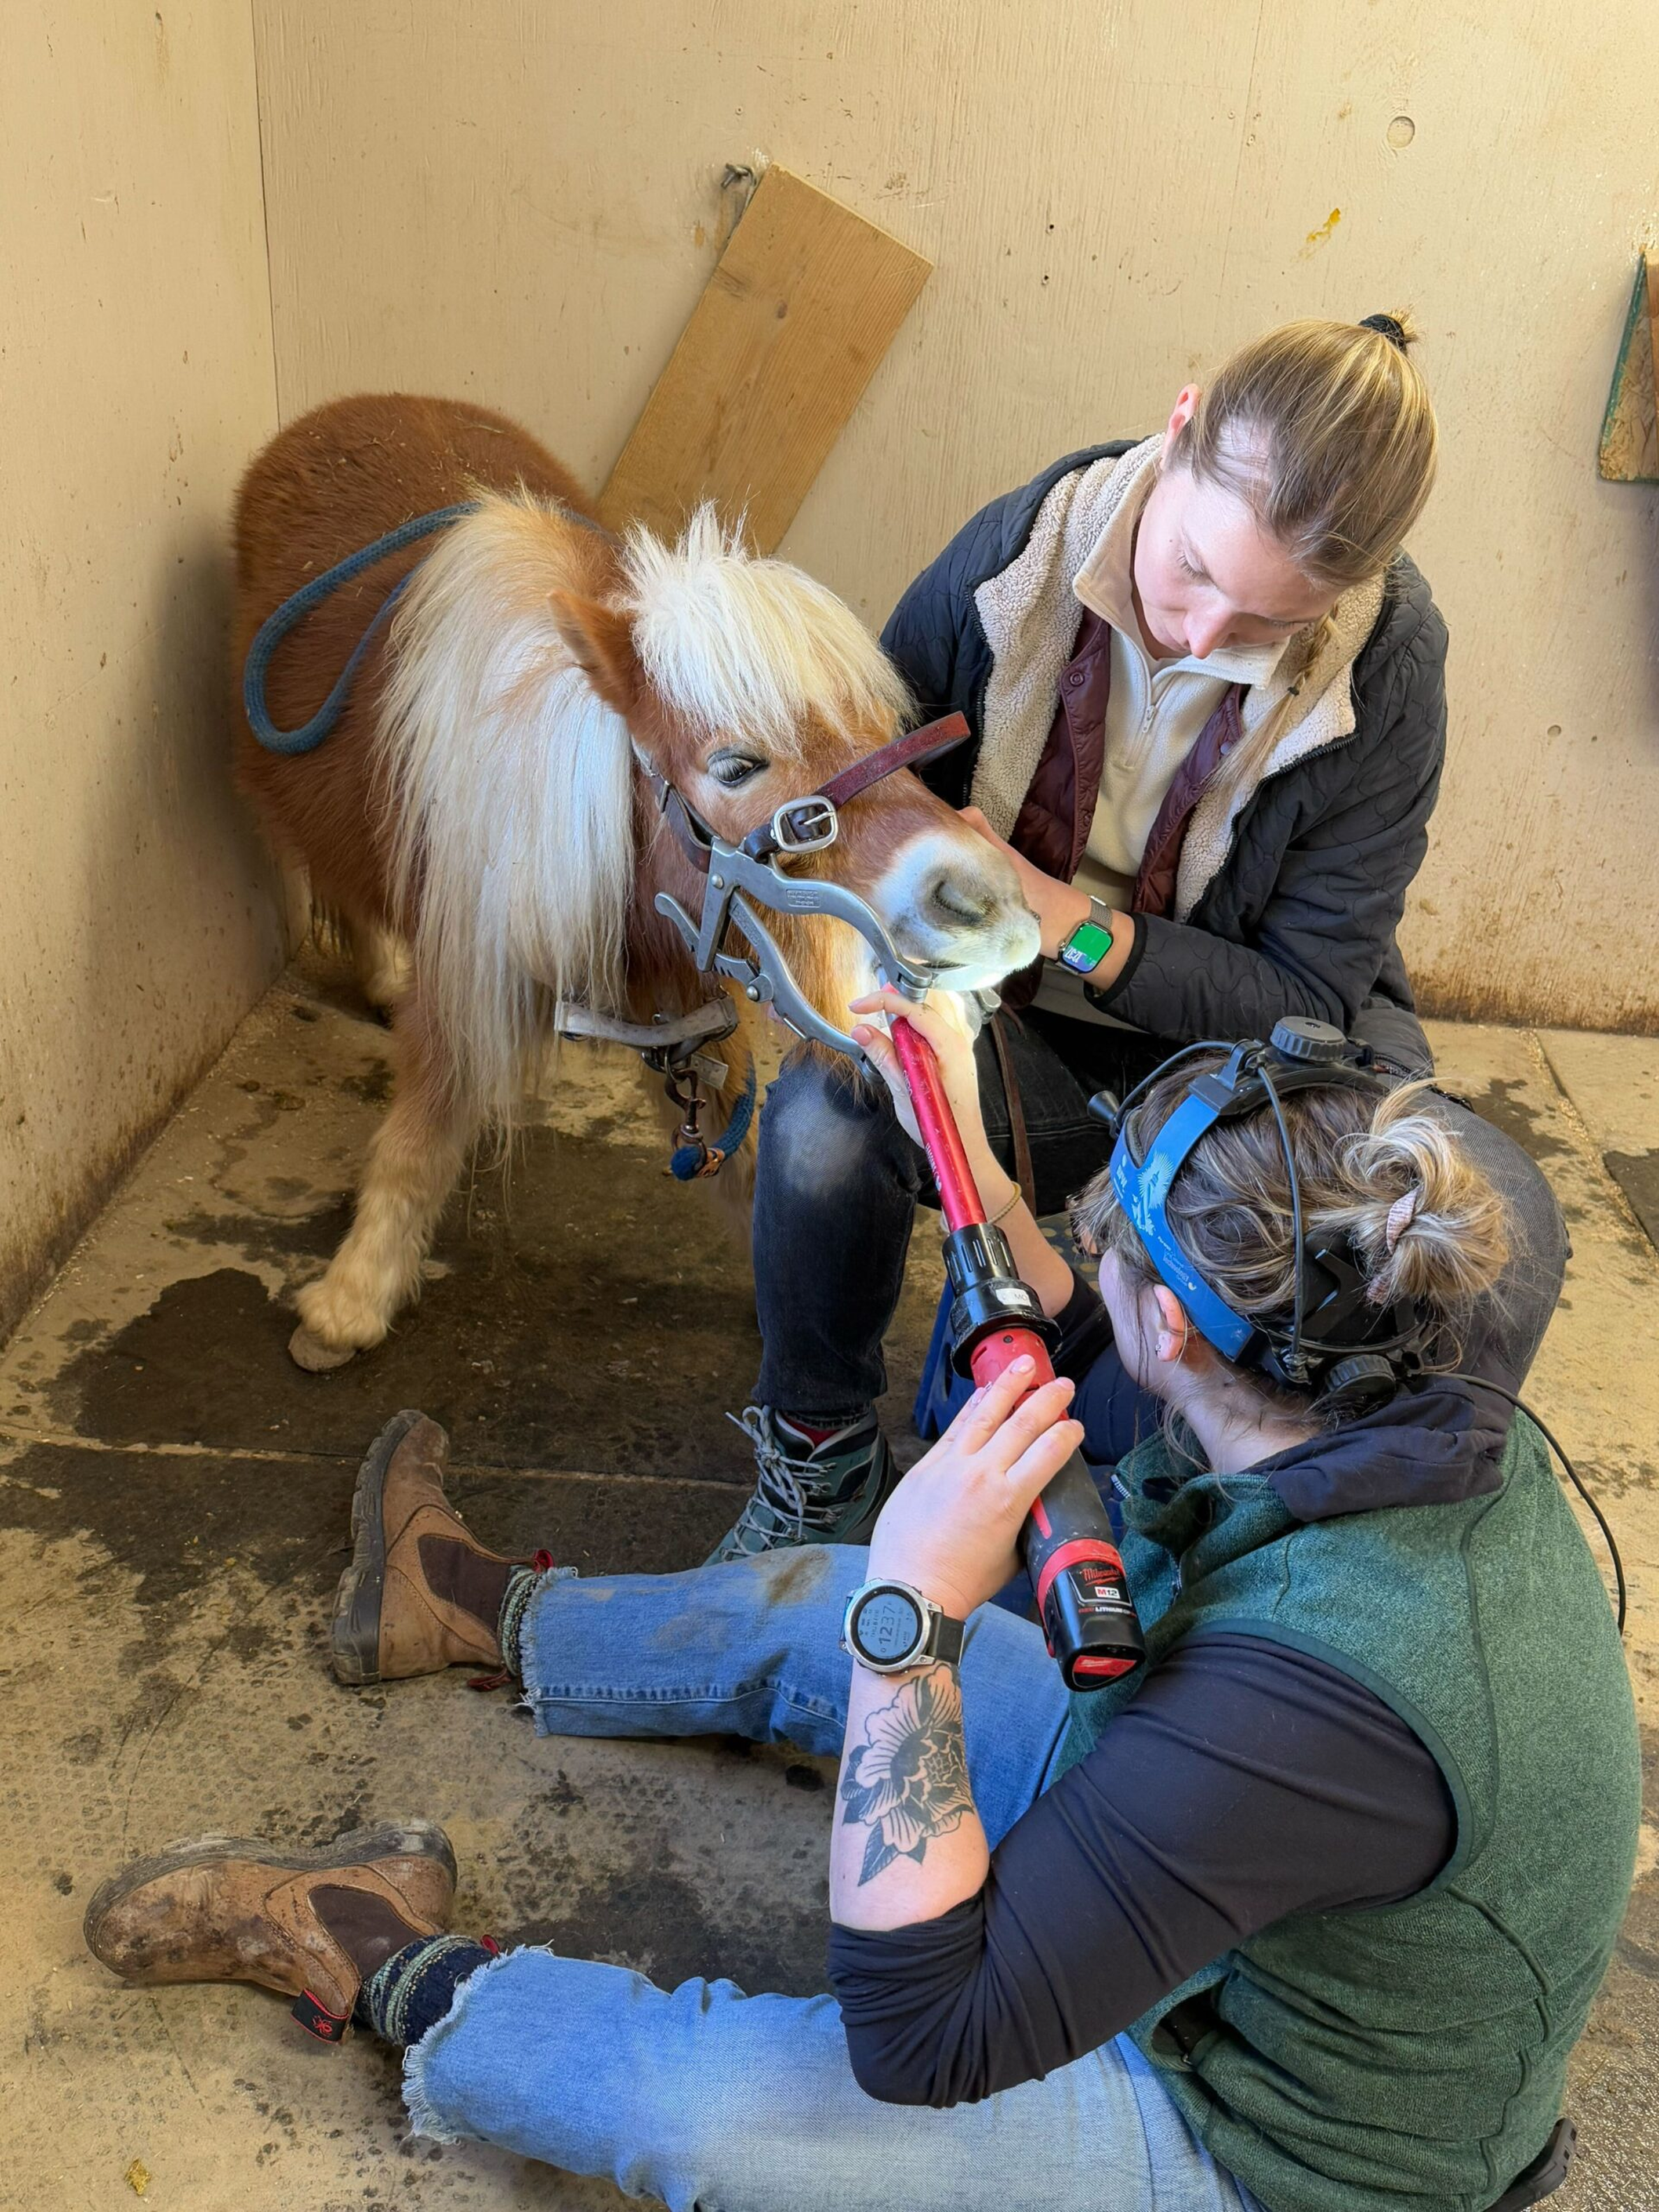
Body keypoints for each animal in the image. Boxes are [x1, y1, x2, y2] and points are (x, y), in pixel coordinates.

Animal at [231, 393, 1039, 1370]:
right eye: (733, 766)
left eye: (881, 727)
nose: (986, 906)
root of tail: (345, 411)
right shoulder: (466, 978)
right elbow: (422, 1133)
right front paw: (350, 1300)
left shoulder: (688, 994)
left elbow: (740, 1152)